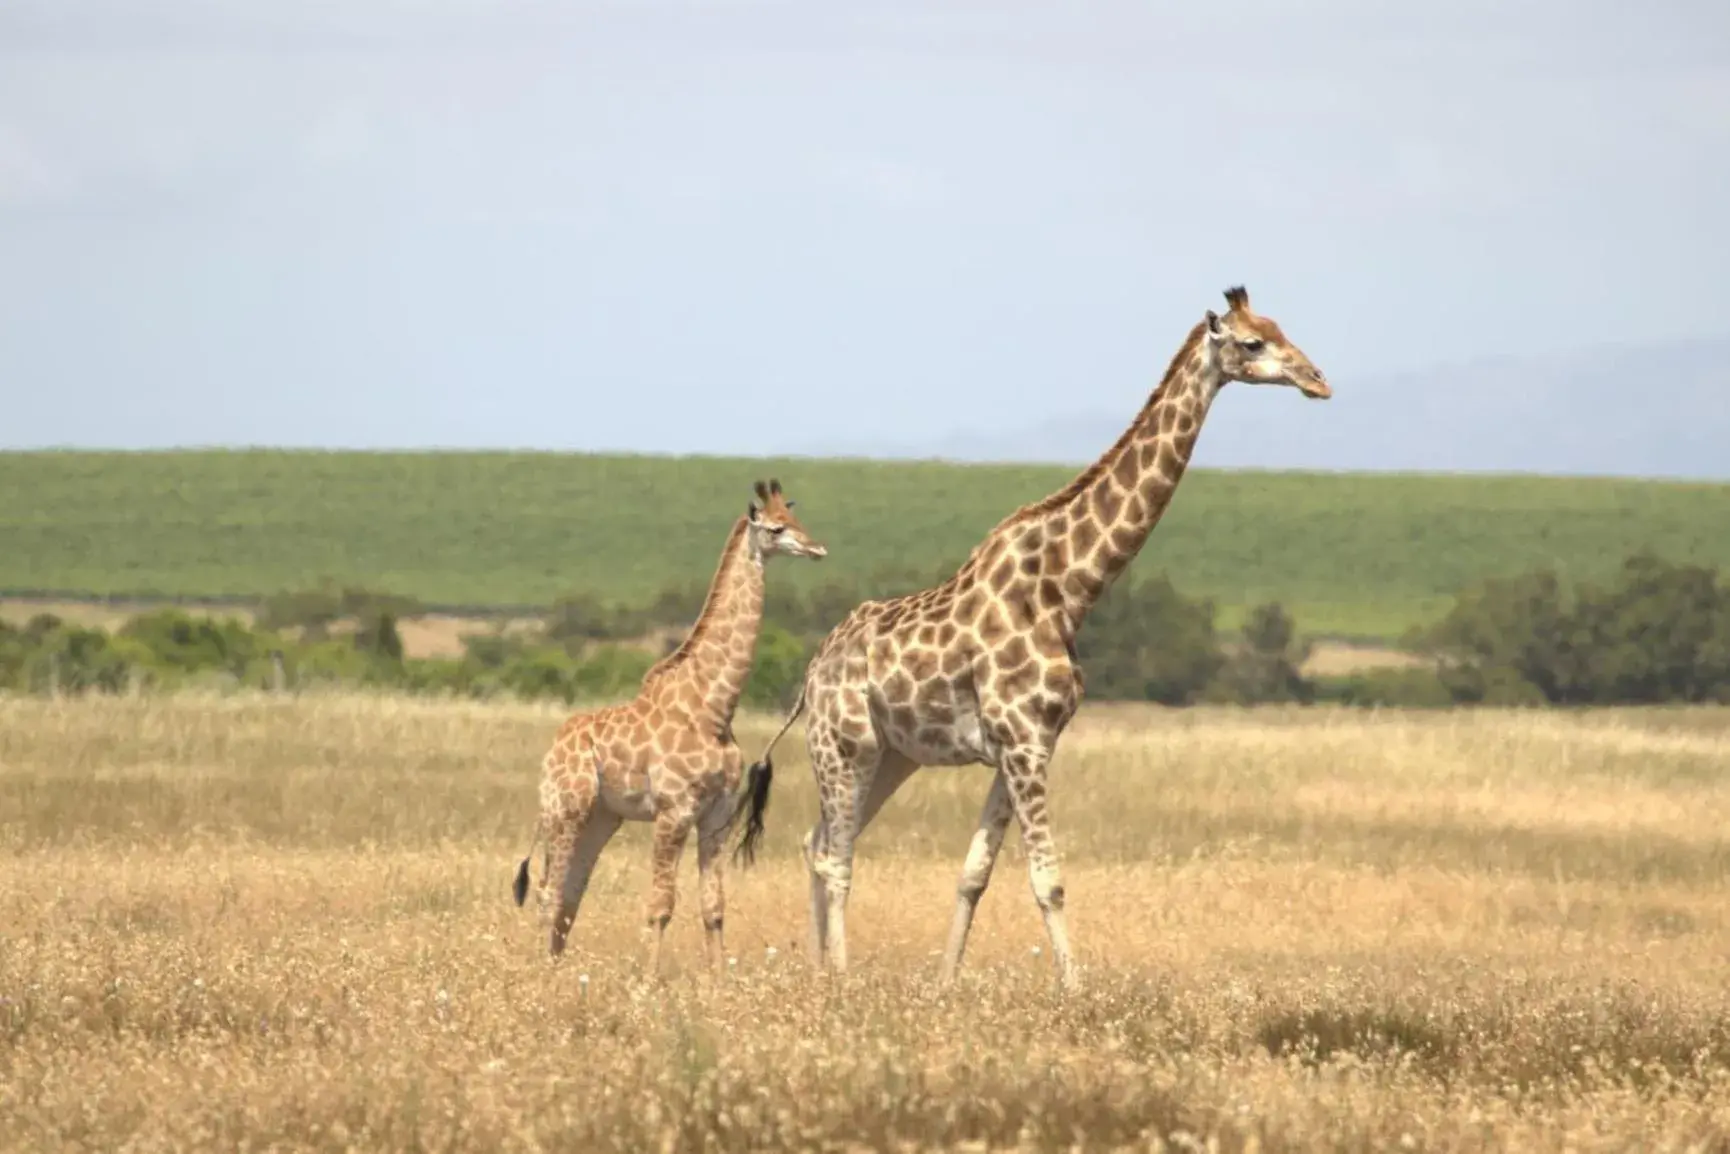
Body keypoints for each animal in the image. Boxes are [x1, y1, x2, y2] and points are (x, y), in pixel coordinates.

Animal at [736, 290, 1328, 996]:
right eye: (1251, 343)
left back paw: (818, 968)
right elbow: (1050, 880)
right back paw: (841, 977)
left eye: (1280, 328)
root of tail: (809, 678)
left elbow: (974, 875)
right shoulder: (1022, 741)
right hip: (842, 746)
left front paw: (945, 983)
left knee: (817, 841)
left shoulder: (1030, 743)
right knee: (835, 853)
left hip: (891, 756)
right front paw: (1075, 991)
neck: (1069, 588)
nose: (1317, 380)